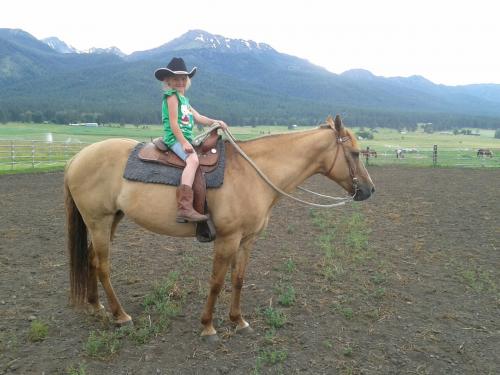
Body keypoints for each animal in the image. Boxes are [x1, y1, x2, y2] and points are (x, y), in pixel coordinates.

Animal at [63, 114, 376, 340]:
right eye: (355, 153)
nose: (369, 190)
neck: (253, 173)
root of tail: (77, 158)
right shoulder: (227, 239)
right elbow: (216, 281)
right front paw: (208, 326)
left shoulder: (247, 240)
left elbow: (238, 279)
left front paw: (239, 321)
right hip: (99, 220)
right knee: (103, 266)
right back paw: (120, 315)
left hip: (111, 219)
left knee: (91, 259)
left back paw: (96, 306)